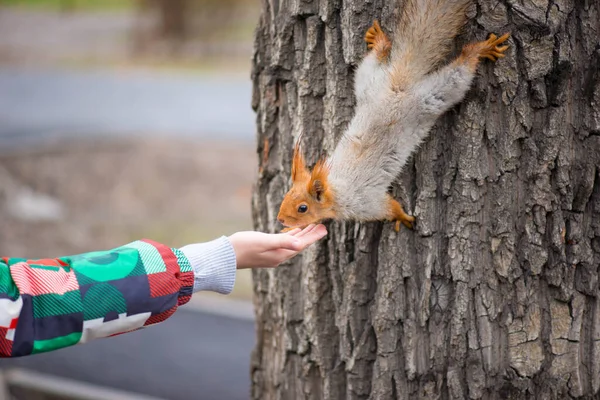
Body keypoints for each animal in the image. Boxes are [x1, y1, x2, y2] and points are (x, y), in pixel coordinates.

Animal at [276, 0, 506, 233]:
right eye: (285, 197)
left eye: (303, 208)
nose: (281, 220)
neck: (335, 189)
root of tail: (398, 86)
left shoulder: (365, 203)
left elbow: (389, 207)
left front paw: (402, 217)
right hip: (368, 83)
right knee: (373, 61)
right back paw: (380, 42)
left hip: (433, 97)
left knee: (460, 72)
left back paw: (478, 50)